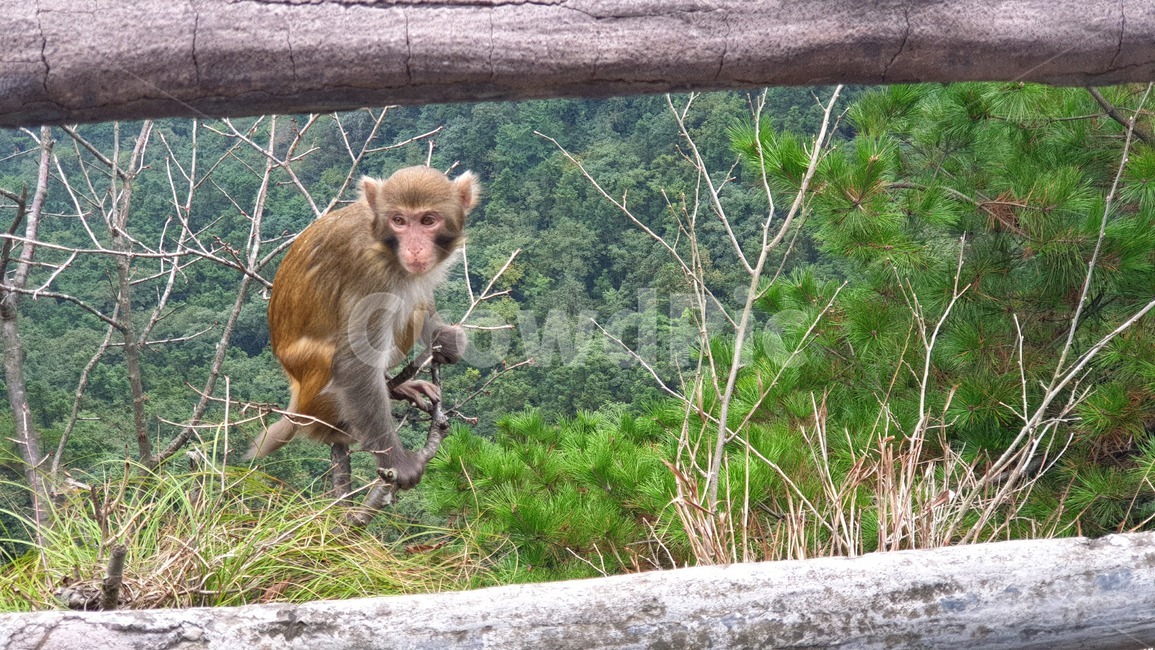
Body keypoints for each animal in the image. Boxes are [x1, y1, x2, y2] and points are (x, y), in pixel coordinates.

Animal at [248, 166, 478, 490]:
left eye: (428, 220)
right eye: (399, 221)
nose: (415, 248)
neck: (384, 245)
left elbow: (422, 298)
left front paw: (443, 338)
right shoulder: (370, 275)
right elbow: (354, 363)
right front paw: (397, 461)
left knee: (410, 306)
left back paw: (396, 385)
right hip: (308, 375)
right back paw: (330, 428)